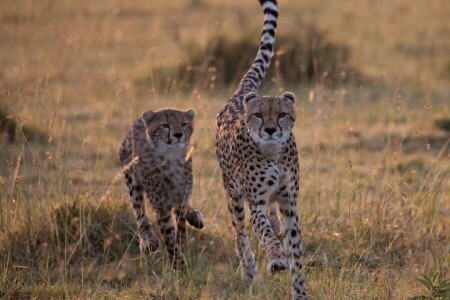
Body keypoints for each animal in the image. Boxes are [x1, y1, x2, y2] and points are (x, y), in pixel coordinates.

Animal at [119, 109, 204, 268]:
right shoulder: (161, 206)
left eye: (184, 124)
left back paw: (195, 217)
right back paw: (148, 241)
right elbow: (169, 236)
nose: (178, 134)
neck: (170, 157)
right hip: (132, 179)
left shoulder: (180, 198)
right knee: (140, 213)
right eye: (165, 125)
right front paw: (178, 265)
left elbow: (180, 227)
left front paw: (181, 248)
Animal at [214, 0, 306, 298]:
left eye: (281, 114)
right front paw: (276, 259)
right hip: (233, 196)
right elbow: (264, 234)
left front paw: (300, 289)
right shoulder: (256, 203)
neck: (272, 152)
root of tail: (242, 94)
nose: (270, 130)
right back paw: (250, 273)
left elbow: (294, 249)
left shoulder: (289, 203)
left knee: (270, 223)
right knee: (241, 236)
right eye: (258, 115)